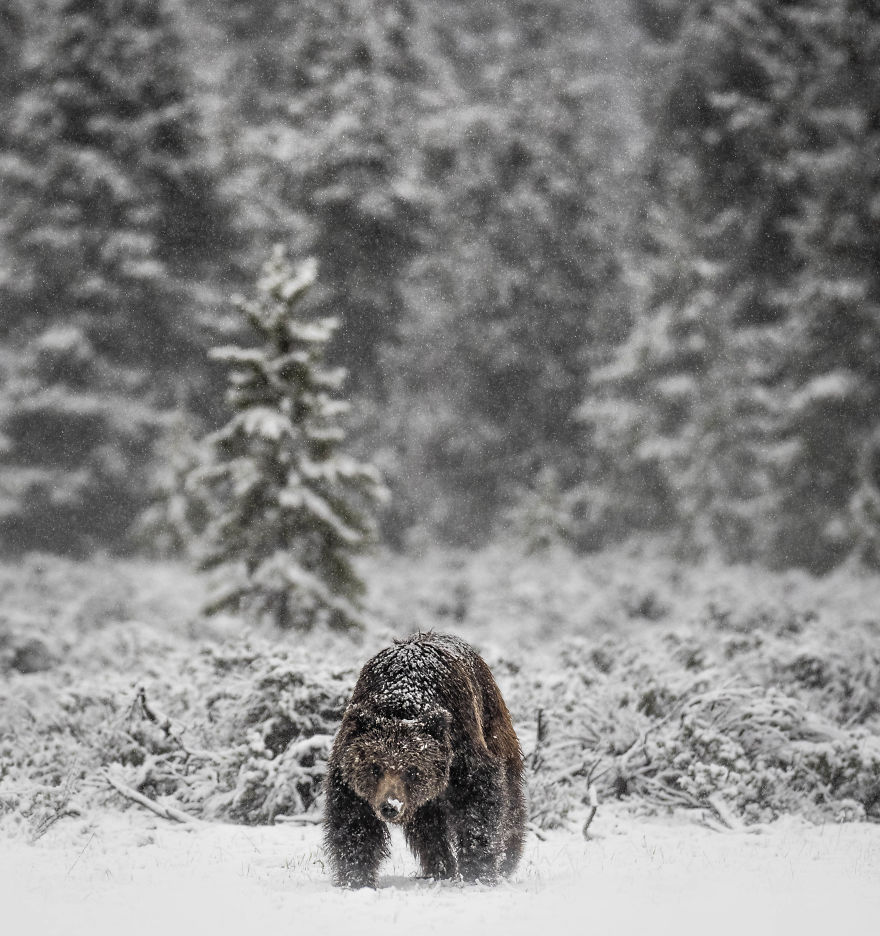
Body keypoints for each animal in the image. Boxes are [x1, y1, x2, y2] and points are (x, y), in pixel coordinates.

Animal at [323, 632, 525, 888]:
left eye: (411, 770)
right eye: (374, 768)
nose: (390, 806)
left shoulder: (460, 745)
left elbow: (478, 803)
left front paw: (478, 872)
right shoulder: (348, 768)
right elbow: (354, 821)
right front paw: (356, 877)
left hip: (494, 721)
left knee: (511, 798)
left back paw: (508, 859)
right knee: (427, 828)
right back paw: (439, 868)